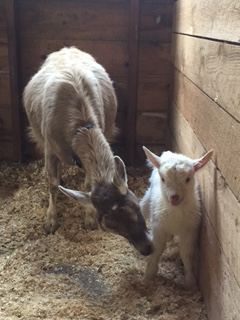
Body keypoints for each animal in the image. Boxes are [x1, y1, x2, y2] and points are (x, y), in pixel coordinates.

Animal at [23, 47, 152, 255]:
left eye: (137, 208)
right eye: (109, 225)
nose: (147, 248)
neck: (80, 124)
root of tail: (67, 48)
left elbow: (86, 185)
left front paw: (89, 219)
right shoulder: (50, 147)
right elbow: (52, 183)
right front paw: (50, 221)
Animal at [140, 146, 213, 288]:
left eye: (188, 179)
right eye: (163, 179)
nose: (174, 197)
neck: (175, 212)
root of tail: (170, 153)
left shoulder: (190, 230)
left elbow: (186, 252)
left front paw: (190, 281)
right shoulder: (158, 227)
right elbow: (157, 249)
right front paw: (149, 275)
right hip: (149, 197)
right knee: (142, 208)